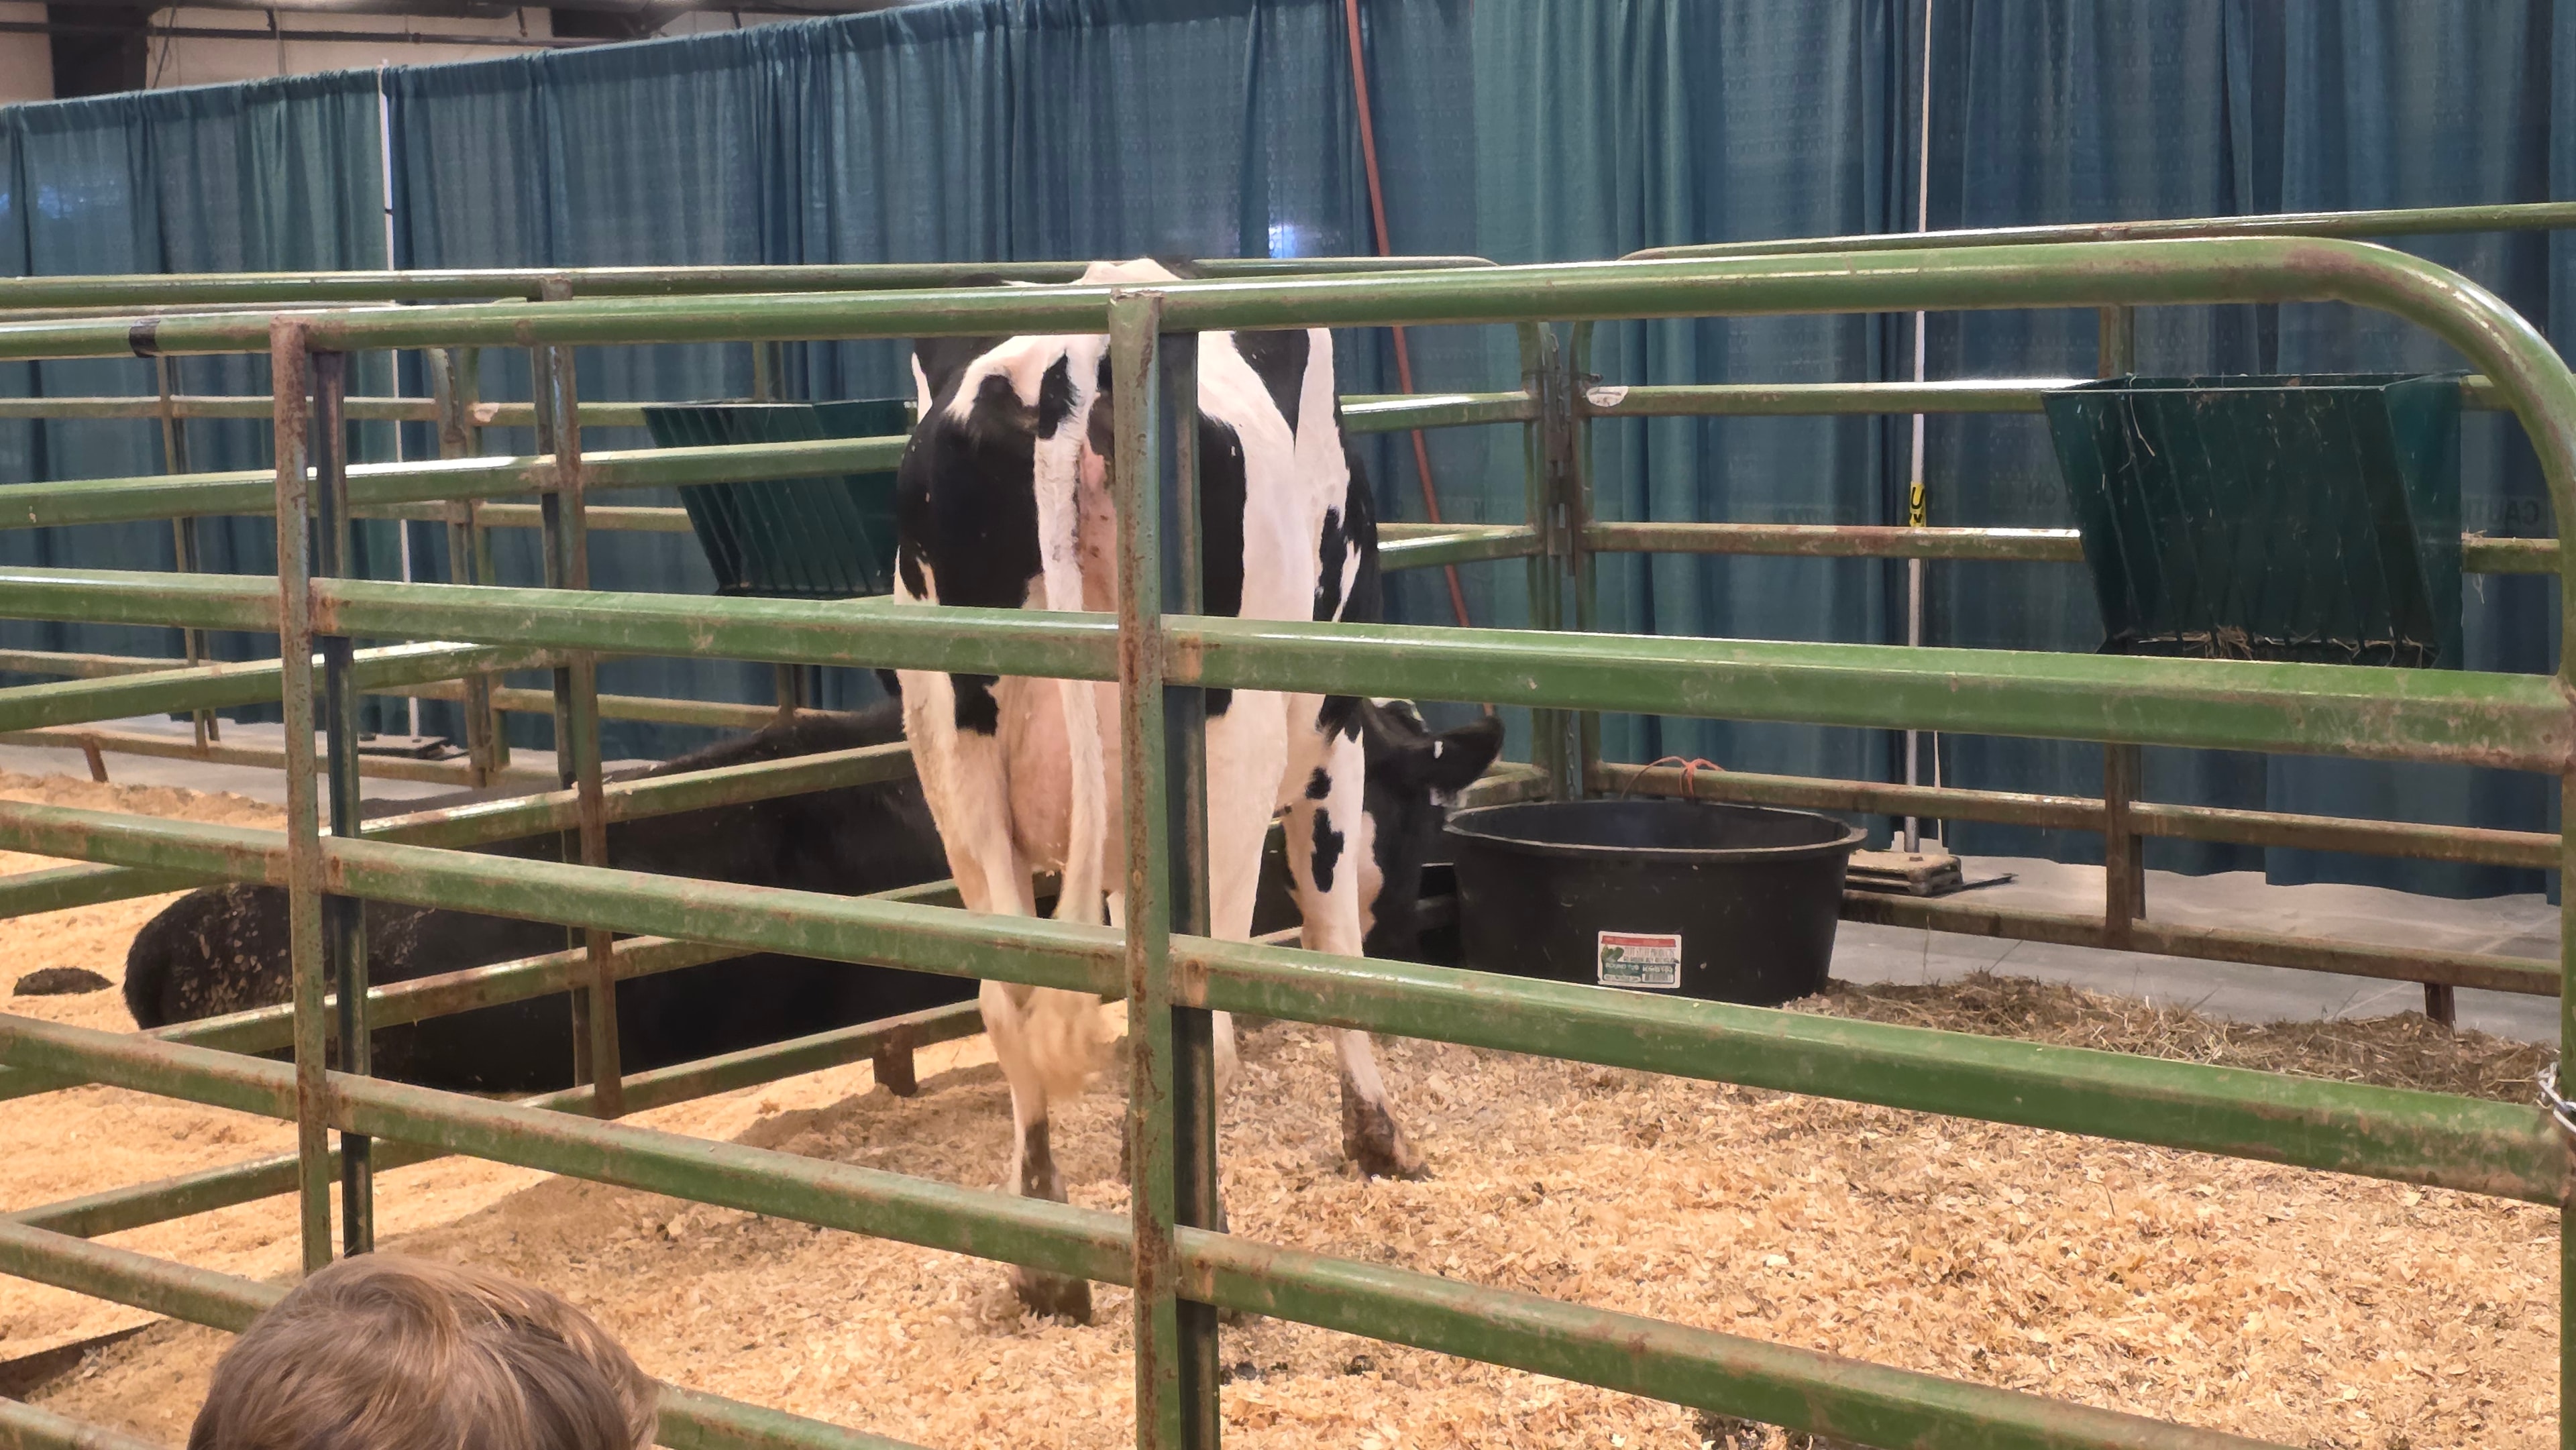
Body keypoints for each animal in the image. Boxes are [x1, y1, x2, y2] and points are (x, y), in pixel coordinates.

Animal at [893, 257, 1440, 1321]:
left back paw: (1048, 1260)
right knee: (1205, 1013)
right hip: (1224, 762)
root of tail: (1067, 359)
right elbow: (1332, 932)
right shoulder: (1332, 734)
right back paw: (1210, 1252)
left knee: (1007, 998)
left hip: (949, 755)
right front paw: (1378, 1134)